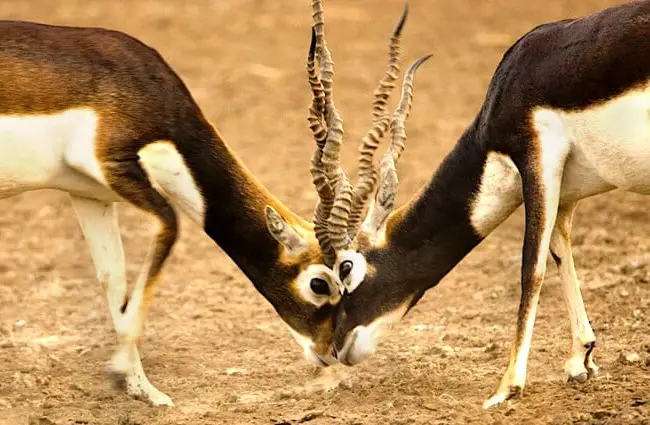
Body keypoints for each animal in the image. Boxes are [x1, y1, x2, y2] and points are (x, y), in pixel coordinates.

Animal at [306, 0, 650, 410]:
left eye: (346, 268)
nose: (337, 347)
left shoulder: (538, 160)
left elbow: (531, 268)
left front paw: (507, 387)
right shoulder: (564, 189)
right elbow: (559, 250)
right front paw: (580, 359)